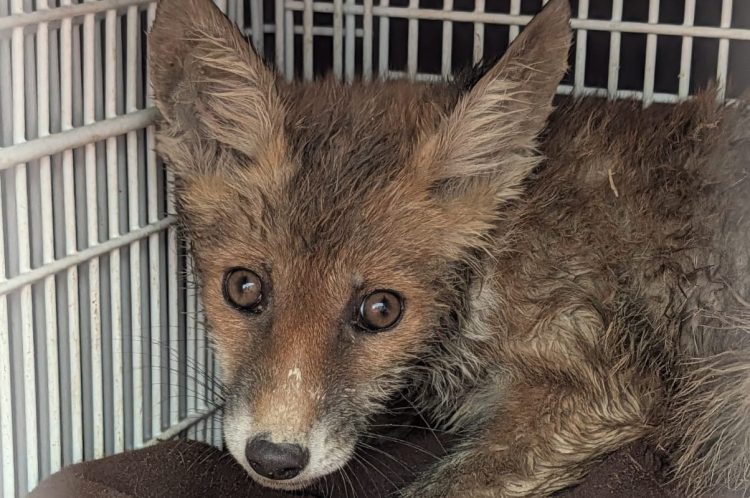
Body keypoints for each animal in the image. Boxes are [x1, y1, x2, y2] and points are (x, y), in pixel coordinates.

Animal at [148, 0, 750, 496]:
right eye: (243, 287)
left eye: (381, 309)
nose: (274, 459)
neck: (497, 258)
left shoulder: (600, 386)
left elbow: (443, 486)